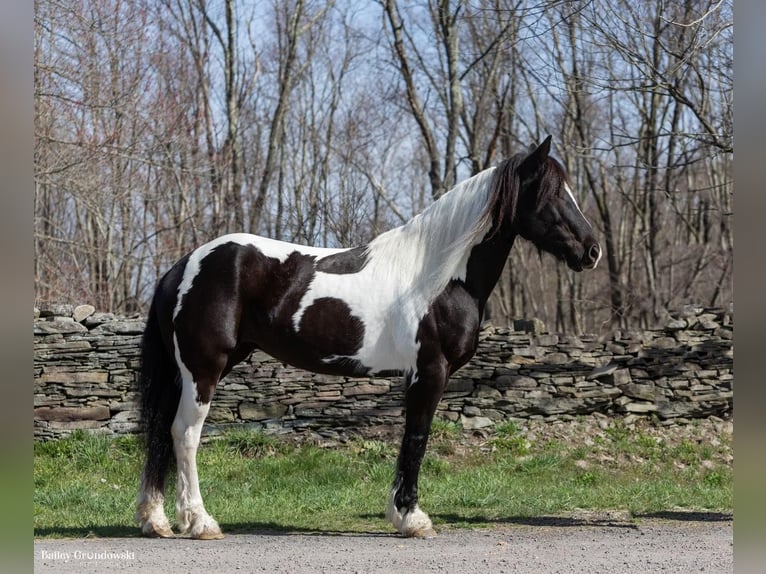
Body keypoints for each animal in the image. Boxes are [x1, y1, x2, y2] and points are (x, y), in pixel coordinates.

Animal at [135, 137, 604, 544]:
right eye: (551, 193)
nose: (593, 250)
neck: (438, 277)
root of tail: (182, 267)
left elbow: (409, 439)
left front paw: (400, 513)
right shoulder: (430, 372)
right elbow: (417, 438)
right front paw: (412, 518)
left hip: (194, 369)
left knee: (160, 431)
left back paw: (155, 520)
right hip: (204, 368)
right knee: (184, 434)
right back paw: (200, 522)